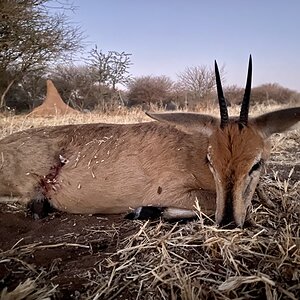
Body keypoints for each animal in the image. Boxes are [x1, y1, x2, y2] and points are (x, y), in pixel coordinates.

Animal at [0, 56, 298, 226]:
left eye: (256, 164)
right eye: (210, 160)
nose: (227, 222)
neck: (191, 149)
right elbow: (213, 202)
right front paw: (146, 211)